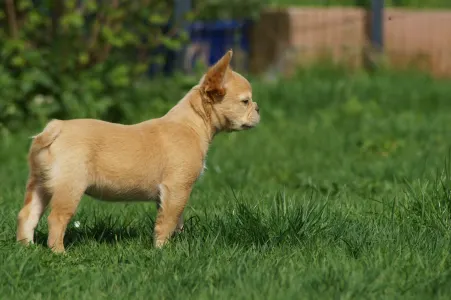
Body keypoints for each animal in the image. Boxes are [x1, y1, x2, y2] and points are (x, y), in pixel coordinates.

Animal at [15, 49, 260, 253]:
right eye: (245, 101)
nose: (258, 109)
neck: (193, 123)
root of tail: (55, 128)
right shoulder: (177, 189)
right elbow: (168, 221)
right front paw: (162, 250)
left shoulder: (170, 195)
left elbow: (176, 220)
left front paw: (177, 244)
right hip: (69, 187)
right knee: (56, 218)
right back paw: (59, 253)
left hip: (40, 183)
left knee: (28, 214)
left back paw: (26, 247)